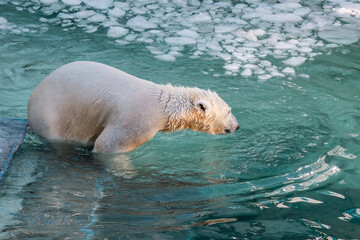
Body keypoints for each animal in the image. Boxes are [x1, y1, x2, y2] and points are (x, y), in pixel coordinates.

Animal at [28, 61, 239, 153]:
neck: (164, 107)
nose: (237, 126)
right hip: (51, 114)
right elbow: (108, 145)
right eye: (229, 110)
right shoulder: (135, 121)